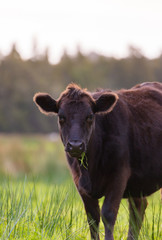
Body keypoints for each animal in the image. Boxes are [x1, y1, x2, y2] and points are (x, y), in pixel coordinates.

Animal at [33, 82, 162, 240]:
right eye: (61, 117)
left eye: (90, 116)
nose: (75, 145)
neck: (90, 169)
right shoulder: (80, 183)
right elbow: (92, 218)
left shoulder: (118, 176)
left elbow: (108, 214)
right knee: (138, 208)